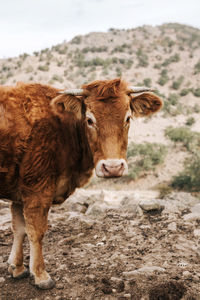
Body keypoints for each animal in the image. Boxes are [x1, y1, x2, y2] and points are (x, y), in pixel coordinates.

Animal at [0, 78, 162, 290]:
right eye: (90, 120)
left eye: (127, 118)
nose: (113, 167)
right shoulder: (37, 188)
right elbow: (36, 231)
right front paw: (41, 275)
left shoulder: (20, 191)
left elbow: (19, 228)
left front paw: (17, 268)